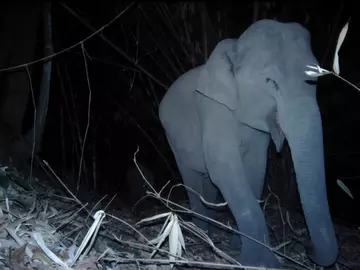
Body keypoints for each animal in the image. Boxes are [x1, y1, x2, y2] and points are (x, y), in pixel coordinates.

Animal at [158, 19, 338, 268]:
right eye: (271, 81)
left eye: (314, 81)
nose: (307, 247)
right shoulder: (213, 107)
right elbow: (224, 169)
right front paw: (260, 262)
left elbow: (256, 170)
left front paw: (239, 246)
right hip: (172, 137)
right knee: (191, 179)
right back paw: (199, 231)